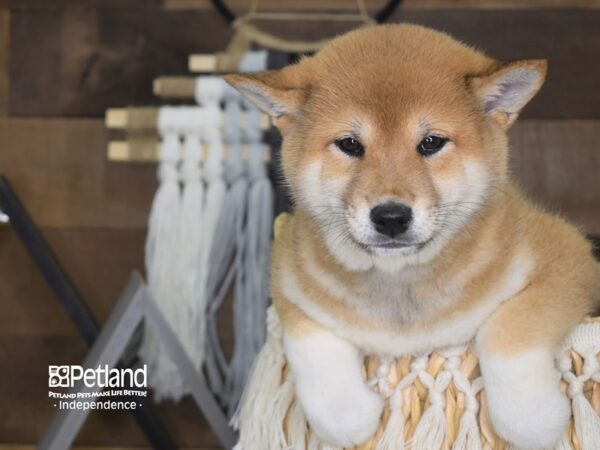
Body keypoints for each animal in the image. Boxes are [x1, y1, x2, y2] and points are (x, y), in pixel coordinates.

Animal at [226, 25, 600, 450]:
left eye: (431, 142)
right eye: (350, 144)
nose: (391, 217)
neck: (401, 286)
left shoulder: (567, 256)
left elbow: (510, 325)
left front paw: (533, 415)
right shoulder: (287, 276)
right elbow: (311, 345)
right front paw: (351, 416)